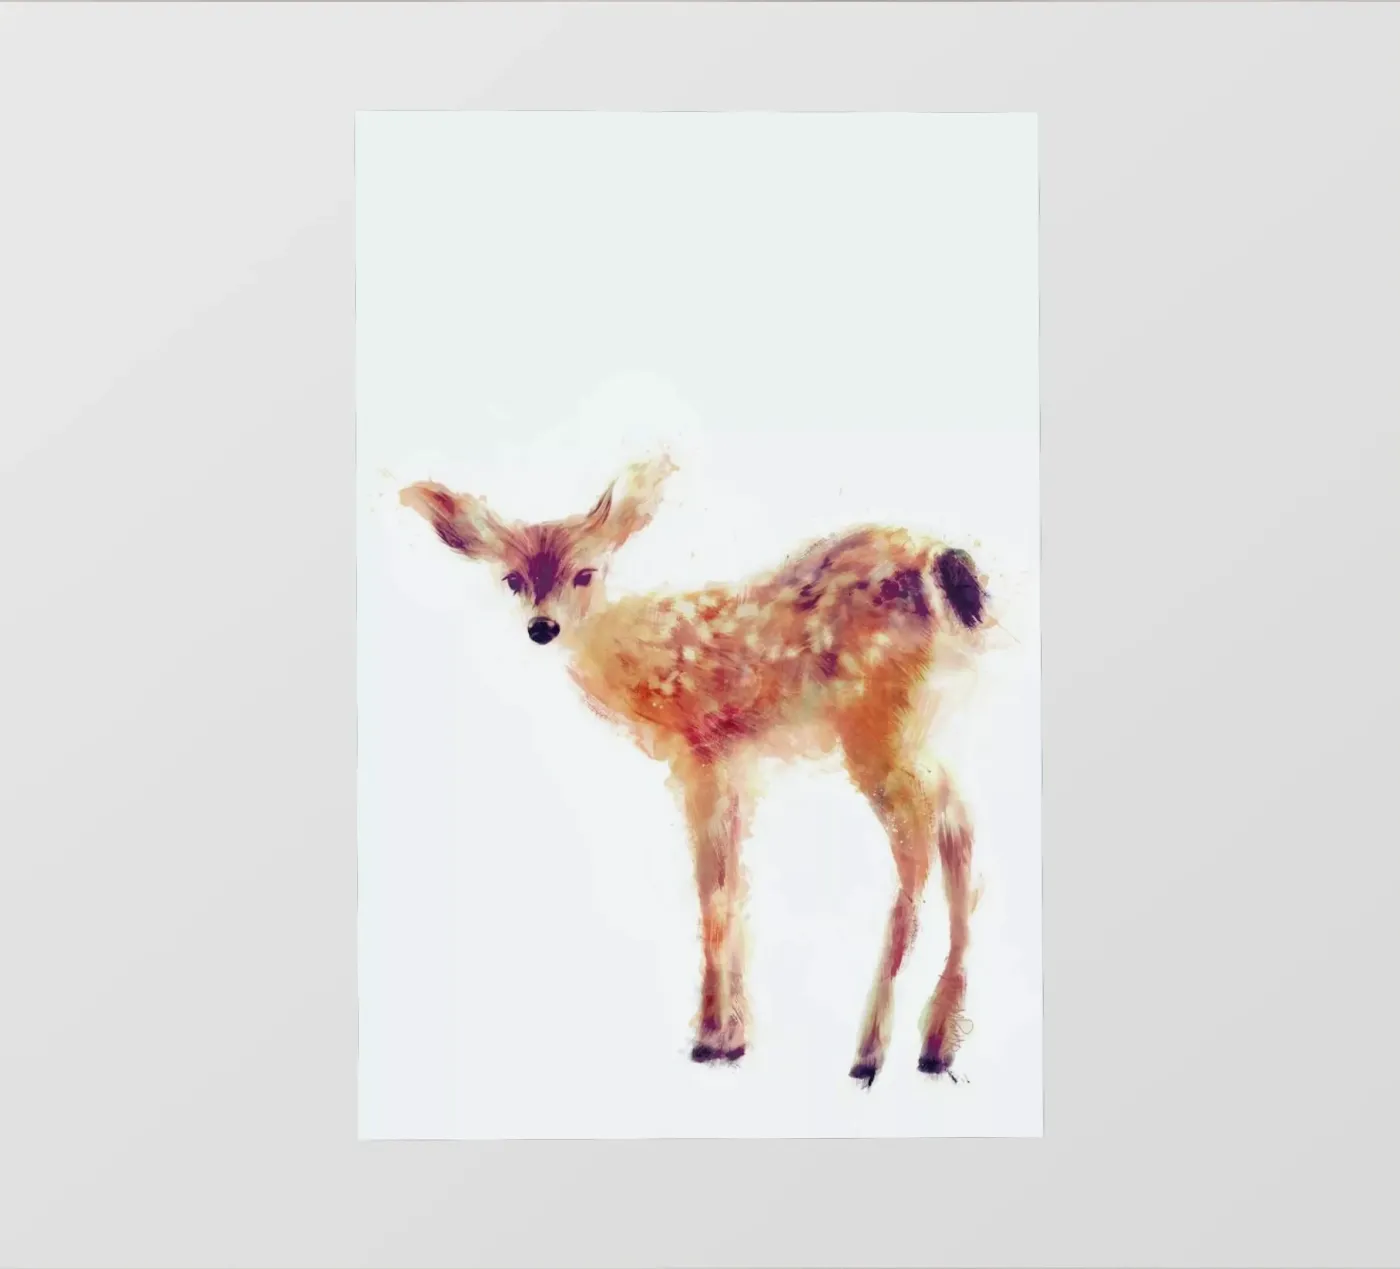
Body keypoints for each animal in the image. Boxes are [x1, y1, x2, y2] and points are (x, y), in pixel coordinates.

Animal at [399, 453, 993, 1085]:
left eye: (585, 573)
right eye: (513, 578)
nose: (542, 627)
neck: (643, 660)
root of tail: (948, 565)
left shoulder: (700, 753)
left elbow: (711, 887)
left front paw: (711, 1038)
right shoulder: (736, 766)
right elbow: (733, 882)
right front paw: (735, 1036)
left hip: (875, 721)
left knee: (917, 844)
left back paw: (869, 1051)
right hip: (919, 724)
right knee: (958, 820)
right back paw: (936, 1044)